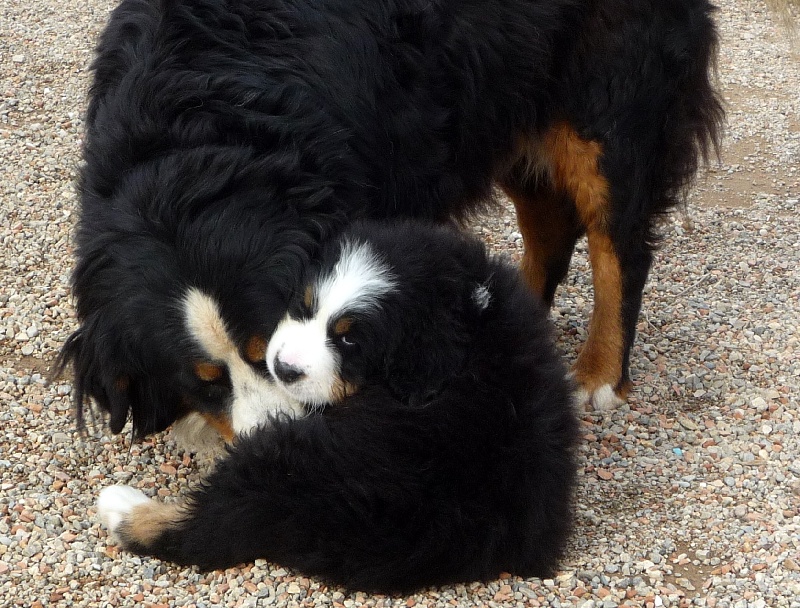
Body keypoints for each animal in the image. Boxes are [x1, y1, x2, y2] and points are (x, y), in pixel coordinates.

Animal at [58, 0, 723, 440]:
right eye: (204, 380)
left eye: (268, 346)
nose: (278, 445)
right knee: (550, 224)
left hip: (607, 104)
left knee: (619, 244)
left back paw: (598, 374)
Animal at [97, 220, 579, 592]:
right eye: (303, 305)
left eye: (350, 340)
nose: (282, 367)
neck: (470, 312)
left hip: (286, 457)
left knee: (207, 524)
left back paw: (121, 505)